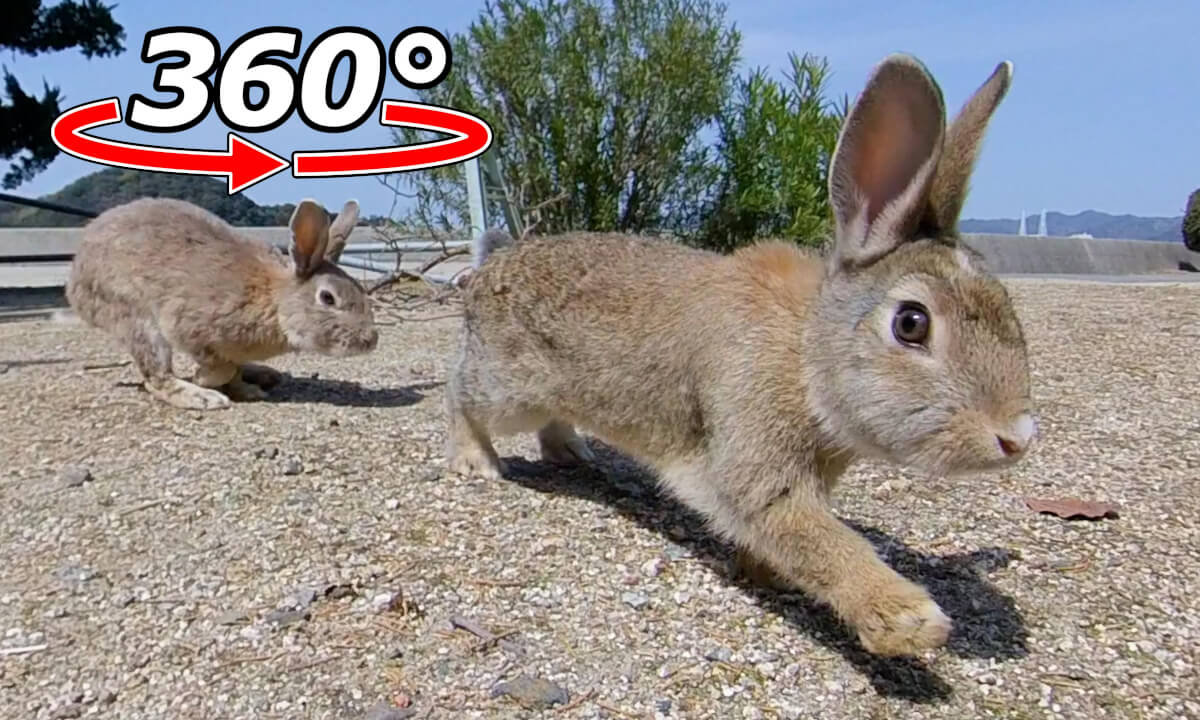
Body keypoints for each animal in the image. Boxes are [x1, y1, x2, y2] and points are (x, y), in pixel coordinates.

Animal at [66, 196, 378, 410]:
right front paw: (204, 380)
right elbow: (221, 368)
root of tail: (76, 276)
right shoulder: (190, 327)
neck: (275, 302)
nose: (371, 340)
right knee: (155, 376)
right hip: (136, 318)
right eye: (328, 298)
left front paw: (246, 390)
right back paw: (202, 397)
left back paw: (263, 375)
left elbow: (234, 370)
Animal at [444, 53, 1037, 657]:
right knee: (461, 395)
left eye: (1007, 305)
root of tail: (491, 265)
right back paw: (476, 462)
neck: (805, 355)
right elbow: (817, 538)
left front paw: (768, 575)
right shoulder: (757, 465)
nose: (1016, 438)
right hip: (509, 389)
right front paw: (908, 621)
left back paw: (571, 451)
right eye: (911, 324)